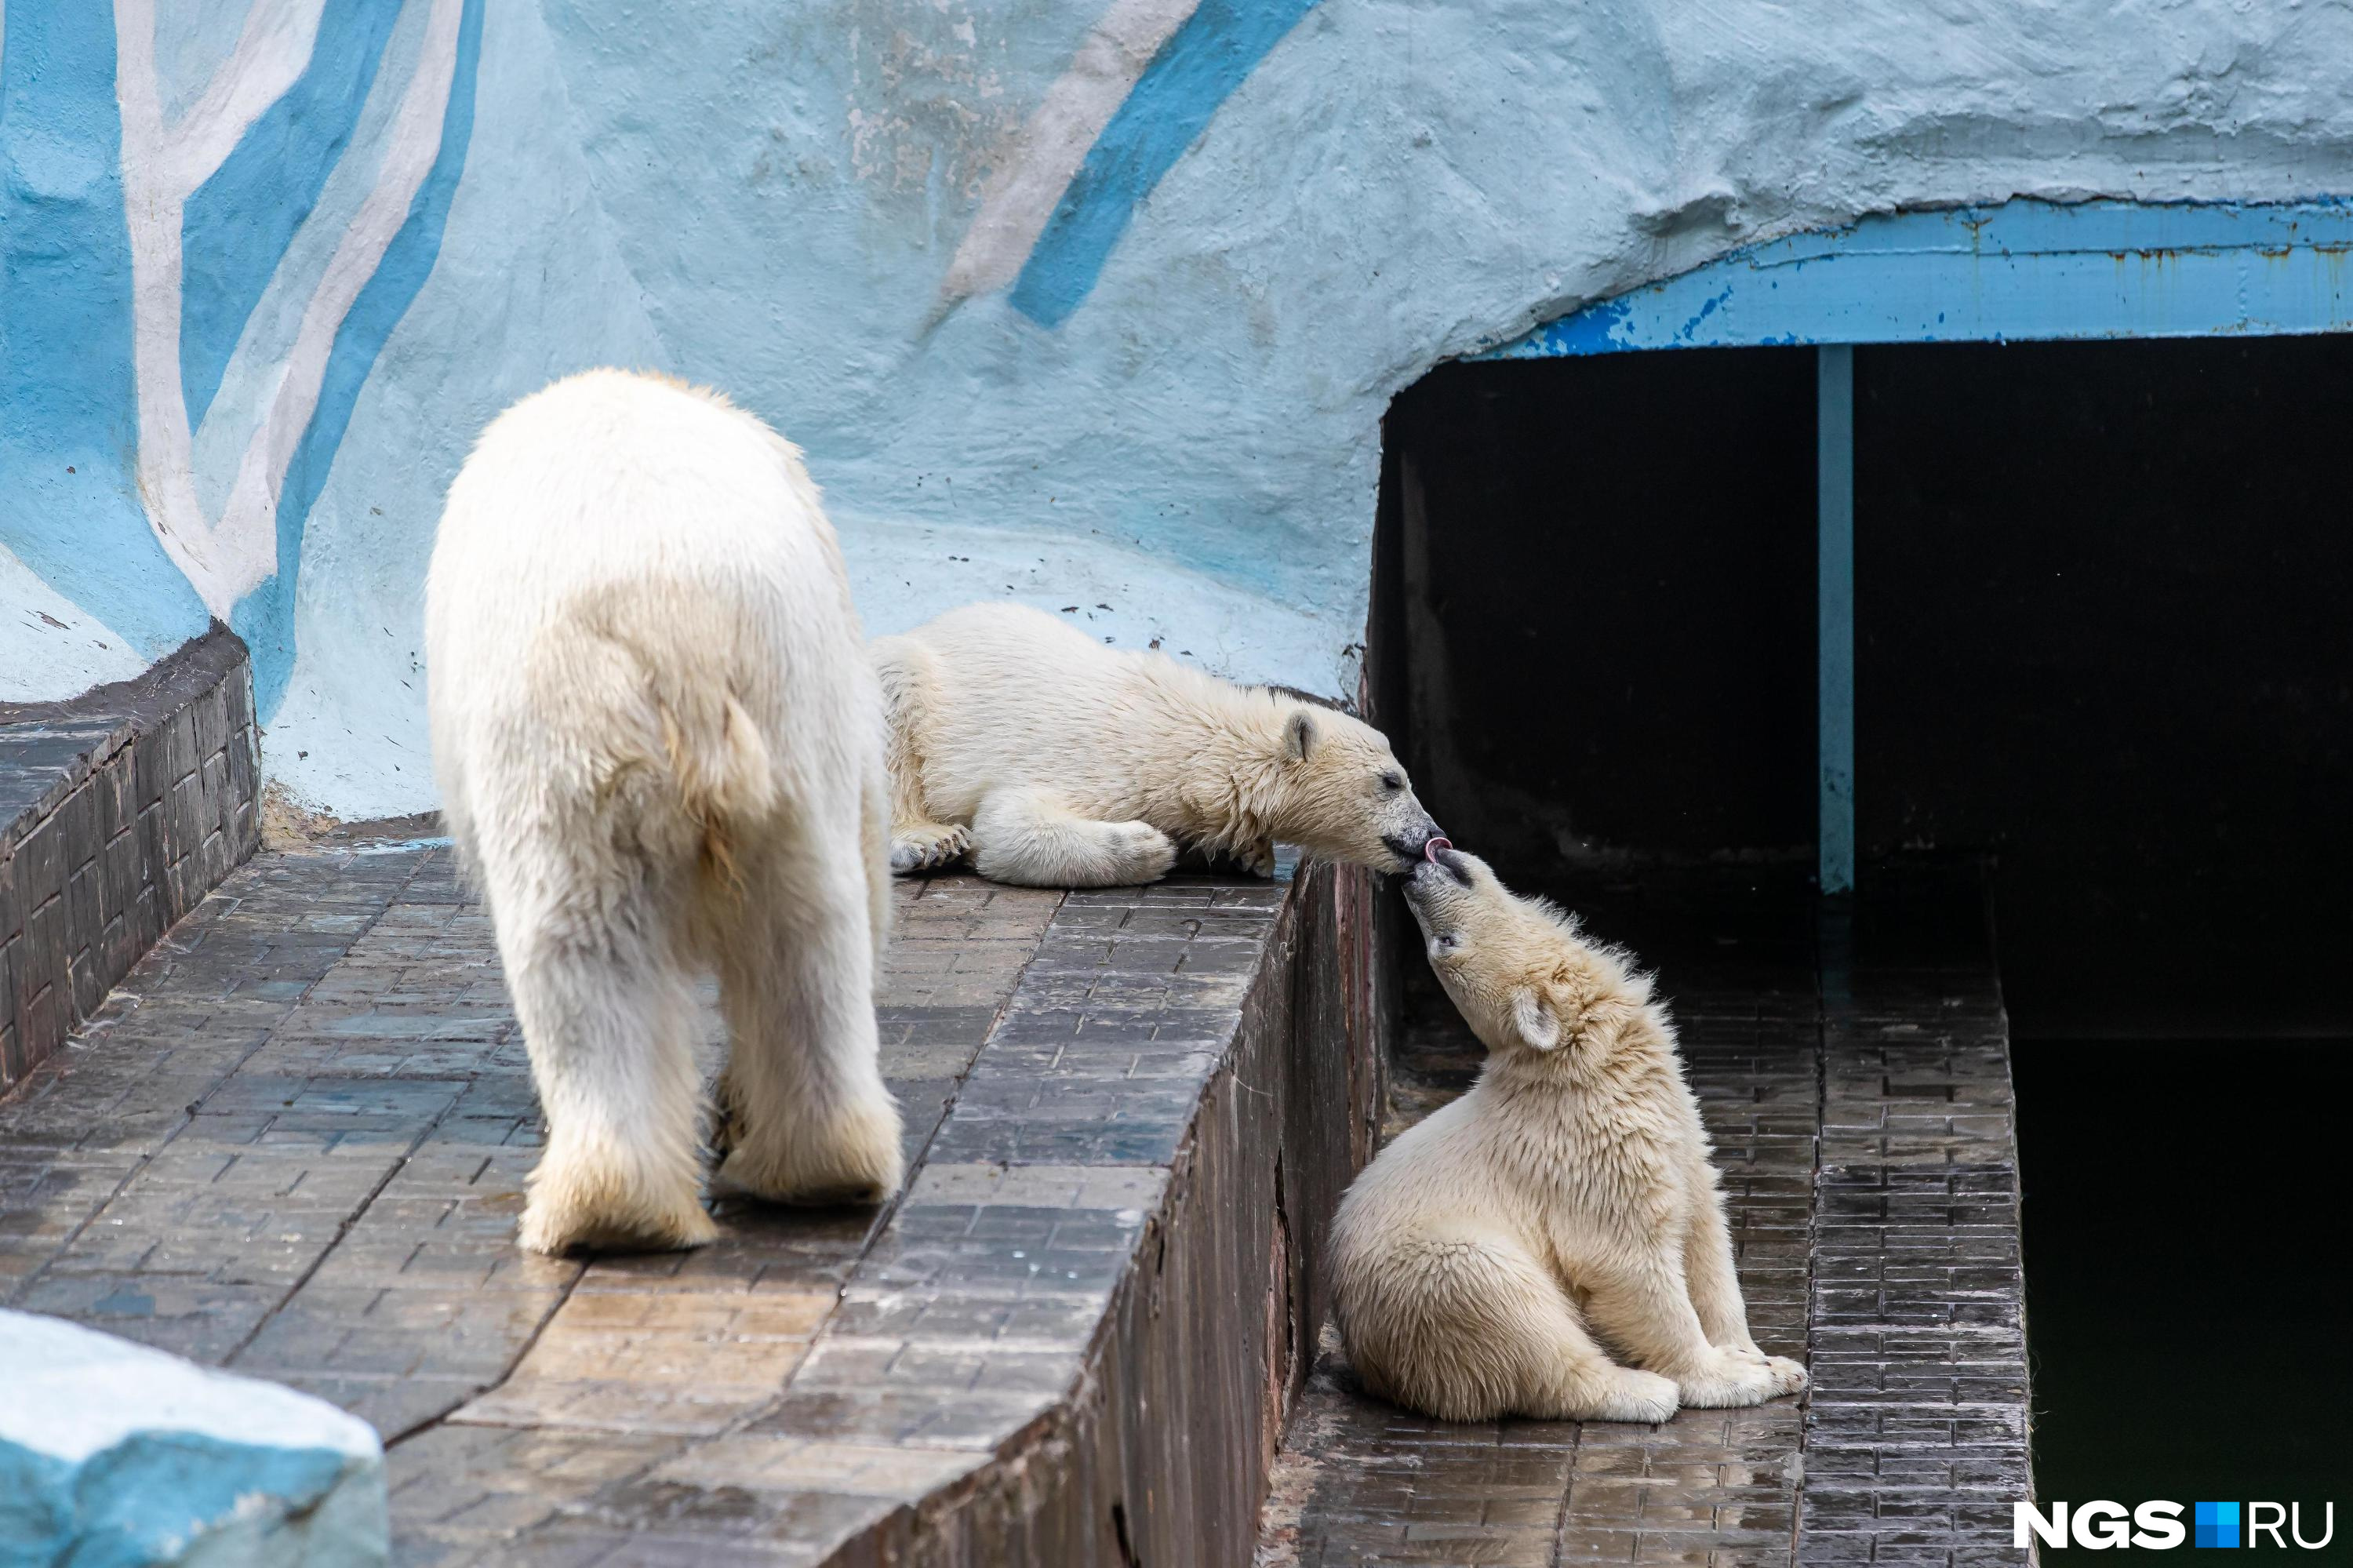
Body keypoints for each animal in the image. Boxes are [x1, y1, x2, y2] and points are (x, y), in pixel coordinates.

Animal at [424, 362, 899, 1242]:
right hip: (768, 707)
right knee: (804, 928)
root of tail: (675, 625)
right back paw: (782, 1177)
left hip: (587, 732)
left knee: (593, 946)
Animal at [875, 598, 1440, 885]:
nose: (1433, 834)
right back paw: (929, 841)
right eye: (1392, 781)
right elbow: (1009, 827)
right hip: (913, 680)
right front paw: (1147, 847)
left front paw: (1246, 854)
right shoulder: (1103, 761)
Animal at [1337, 842, 1807, 1412]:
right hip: (1431, 1272)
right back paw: (1640, 1391)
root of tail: (1373, 1364)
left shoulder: (1675, 1126)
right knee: (1513, 1311)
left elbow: (1705, 1233)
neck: (1587, 1062)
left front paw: (1769, 1361)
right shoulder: (1591, 1147)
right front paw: (1731, 1376)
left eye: (1443, 942)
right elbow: (1627, 1259)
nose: (1413, 875)